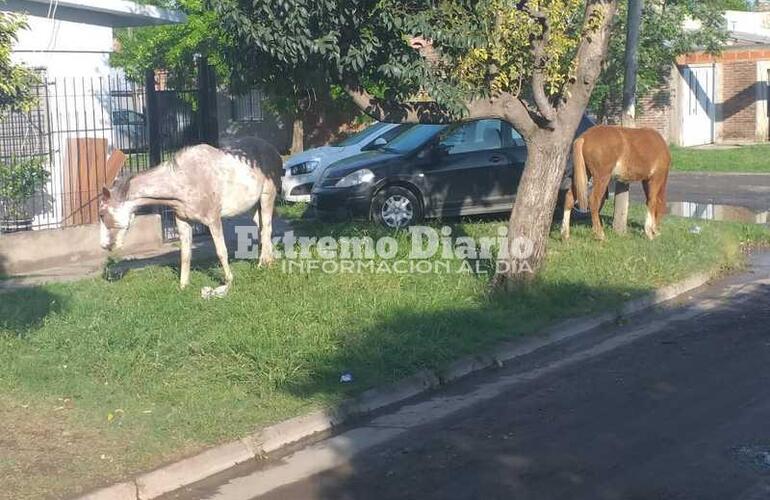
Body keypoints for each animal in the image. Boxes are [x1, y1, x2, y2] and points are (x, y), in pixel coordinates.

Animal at [99, 137, 282, 298]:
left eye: (101, 214)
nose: (105, 245)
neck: (185, 181)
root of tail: (273, 150)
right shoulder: (182, 221)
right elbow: (185, 254)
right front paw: (183, 286)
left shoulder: (213, 220)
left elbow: (221, 251)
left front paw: (229, 281)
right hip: (253, 206)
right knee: (262, 227)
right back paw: (269, 260)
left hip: (267, 196)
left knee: (266, 228)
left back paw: (262, 264)